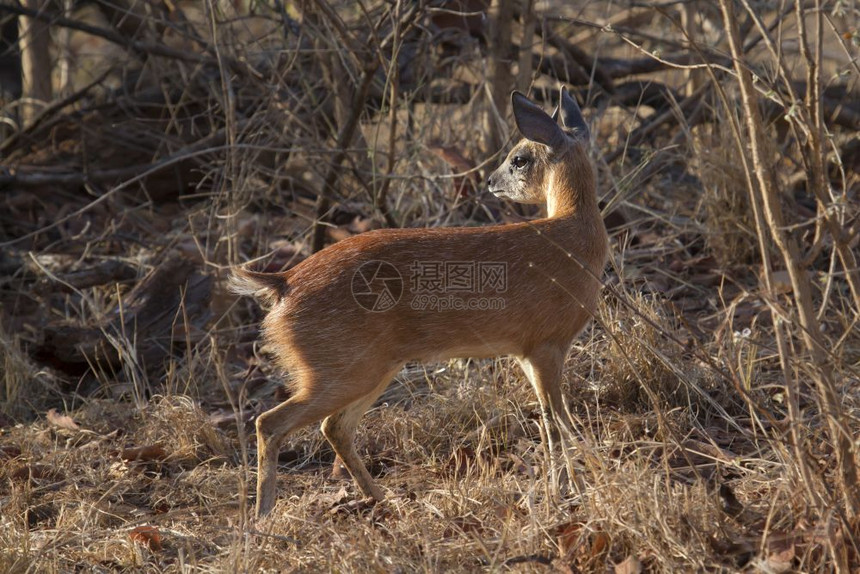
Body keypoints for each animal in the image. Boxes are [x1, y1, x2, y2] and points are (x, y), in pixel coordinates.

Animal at [232, 88, 608, 520]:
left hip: (370, 367)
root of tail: (283, 283)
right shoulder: (547, 344)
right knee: (269, 422)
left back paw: (383, 500)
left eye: (519, 158)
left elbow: (551, 422)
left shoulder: (527, 352)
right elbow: (559, 420)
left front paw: (568, 490)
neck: (574, 240)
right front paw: (574, 492)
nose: (490, 181)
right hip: (342, 368)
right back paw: (262, 518)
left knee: (333, 427)